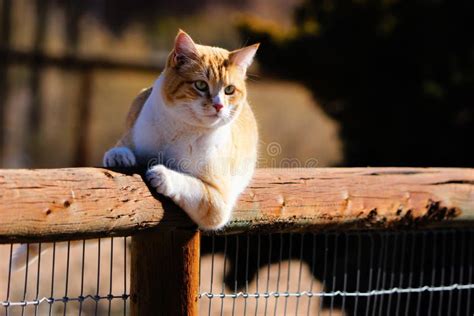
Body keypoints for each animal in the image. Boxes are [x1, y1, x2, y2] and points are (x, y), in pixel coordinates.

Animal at [101, 30, 260, 230]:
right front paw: (119, 156)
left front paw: (162, 175)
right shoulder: (132, 134)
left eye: (229, 90)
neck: (180, 129)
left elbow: (192, 185)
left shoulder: (218, 203)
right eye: (201, 85)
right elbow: (120, 146)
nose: (219, 106)